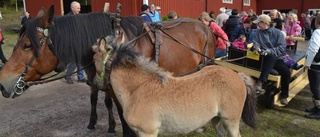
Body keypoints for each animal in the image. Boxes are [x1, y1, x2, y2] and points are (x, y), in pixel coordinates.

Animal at [91, 36, 256, 137]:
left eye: (93, 60)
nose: (92, 82)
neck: (137, 89)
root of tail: (238, 75)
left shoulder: (147, 132)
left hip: (231, 121)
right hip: (217, 119)